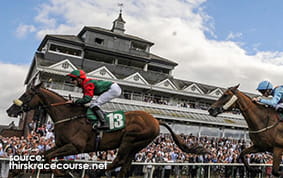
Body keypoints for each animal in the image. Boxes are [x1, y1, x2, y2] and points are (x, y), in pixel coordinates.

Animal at [6, 82, 209, 177]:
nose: (10, 110)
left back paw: (96, 173)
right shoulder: (61, 145)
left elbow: (48, 157)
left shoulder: (76, 147)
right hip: (137, 145)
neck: (68, 117)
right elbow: (42, 155)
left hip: (130, 140)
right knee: (125, 165)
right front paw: (16, 171)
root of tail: (156, 119)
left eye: (27, 95)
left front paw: (65, 172)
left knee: (119, 160)